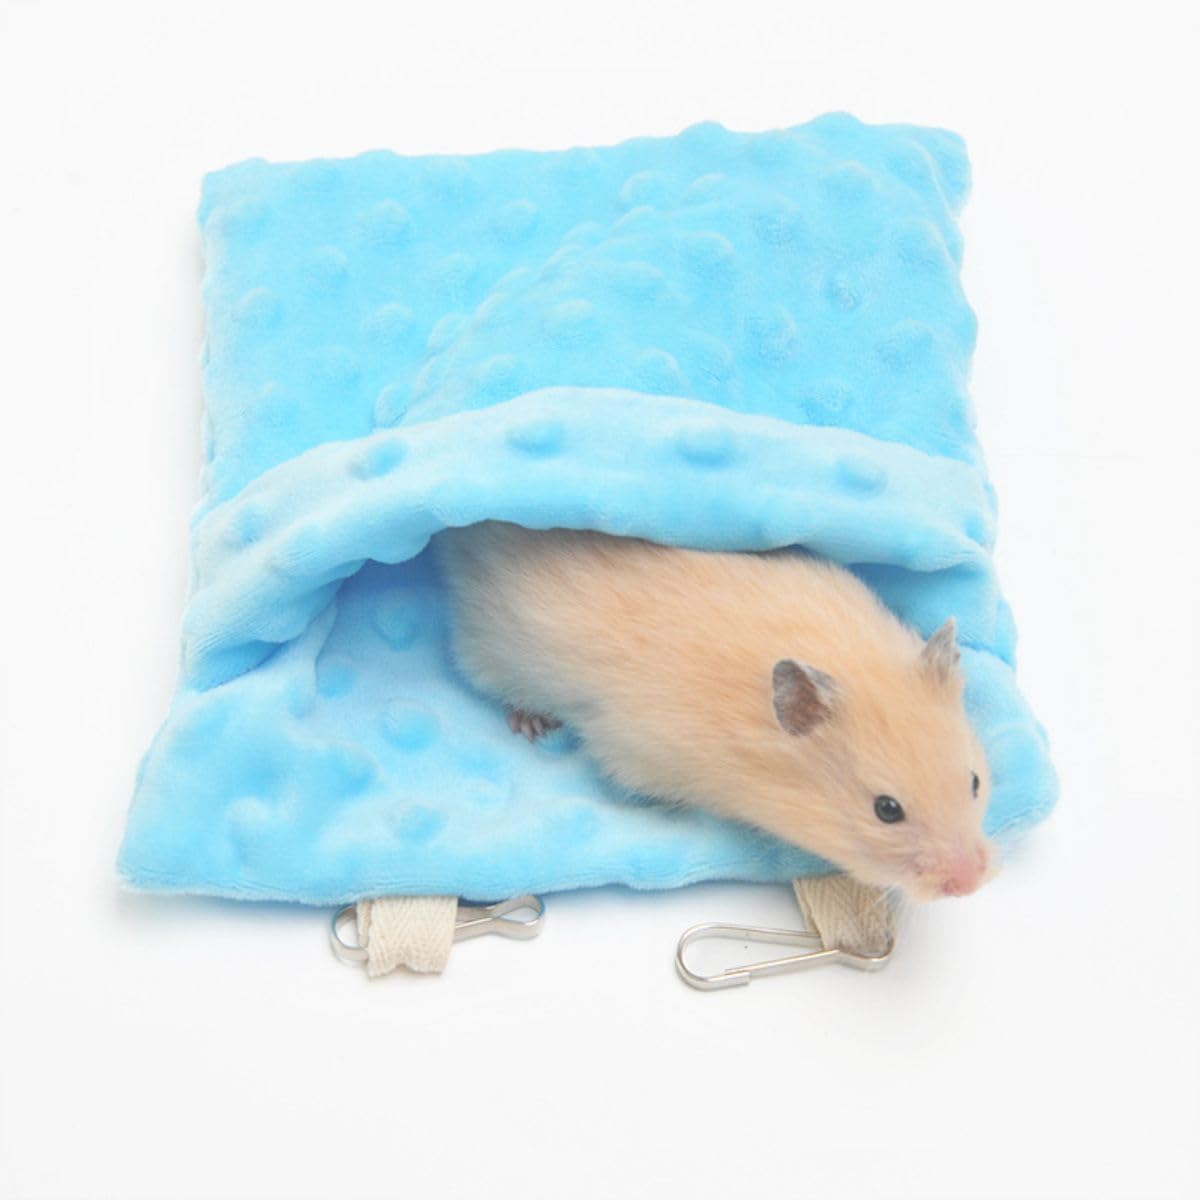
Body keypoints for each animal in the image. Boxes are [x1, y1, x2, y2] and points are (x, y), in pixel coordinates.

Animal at [435, 520, 995, 901]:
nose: (970, 884)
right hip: (490, 650)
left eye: (974, 781)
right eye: (886, 810)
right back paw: (531, 722)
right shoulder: (633, 752)